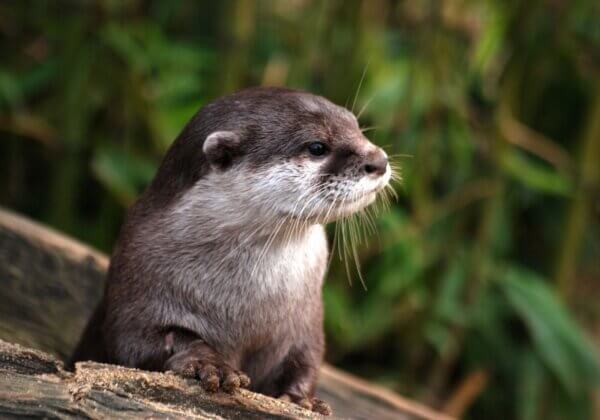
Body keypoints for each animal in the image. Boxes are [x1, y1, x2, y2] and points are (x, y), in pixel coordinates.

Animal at [71, 87, 390, 416]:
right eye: (317, 147)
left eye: (356, 126)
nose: (379, 160)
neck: (247, 305)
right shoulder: (136, 280)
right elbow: (139, 342)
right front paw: (208, 363)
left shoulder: (306, 321)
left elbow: (306, 360)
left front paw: (301, 398)